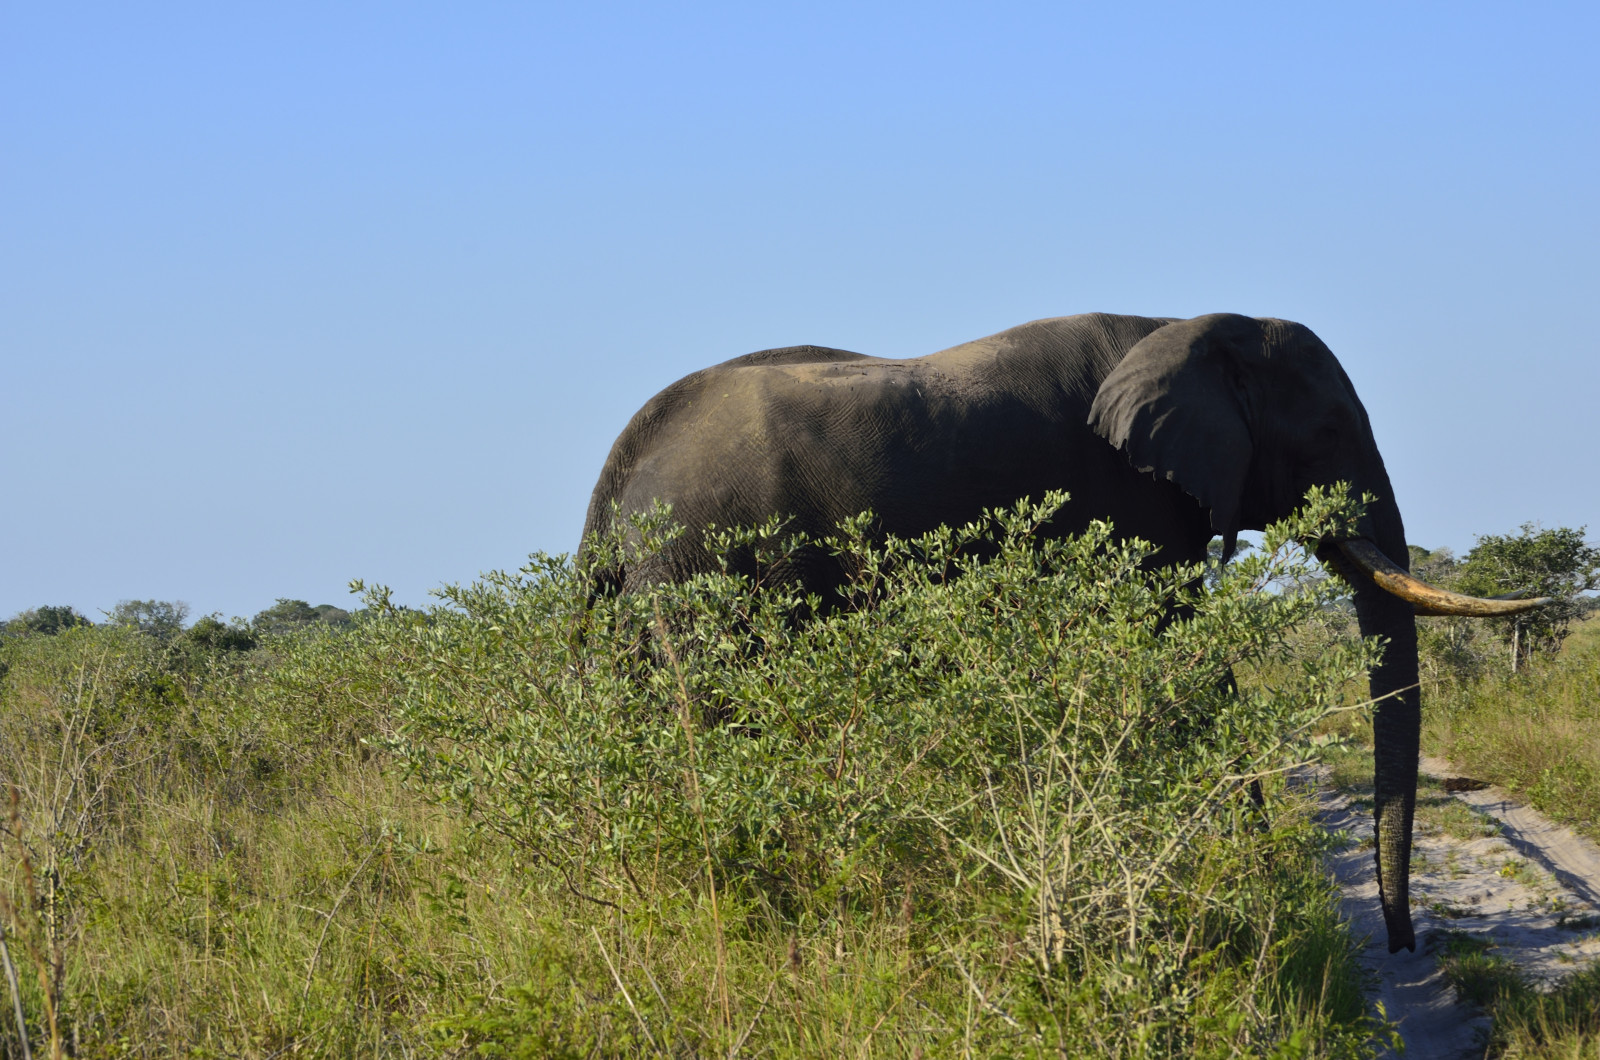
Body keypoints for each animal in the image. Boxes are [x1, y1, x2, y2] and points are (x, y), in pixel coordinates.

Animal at [581, 312, 1546, 954]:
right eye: (1329, 431)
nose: (1402, 945)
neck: (1193, 325)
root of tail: (619, 471)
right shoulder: (1130, 500)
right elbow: (1183, 660)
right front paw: (1256, 876)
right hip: (711, 562)